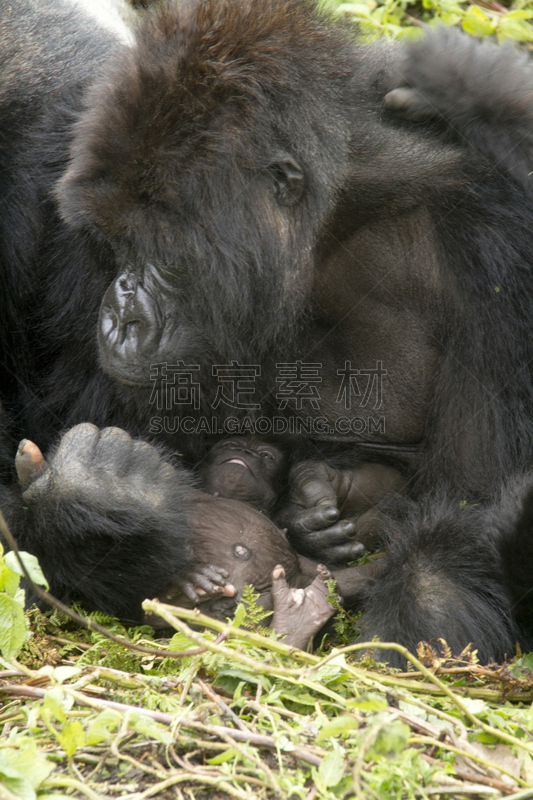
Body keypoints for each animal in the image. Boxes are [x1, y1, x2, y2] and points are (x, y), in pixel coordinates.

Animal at [1, 0, 532, 664]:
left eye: (163, 254)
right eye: (117, 246)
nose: (119, 314)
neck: (318, 239)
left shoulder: (490, 232)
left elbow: (471, 501)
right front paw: (105, 511)